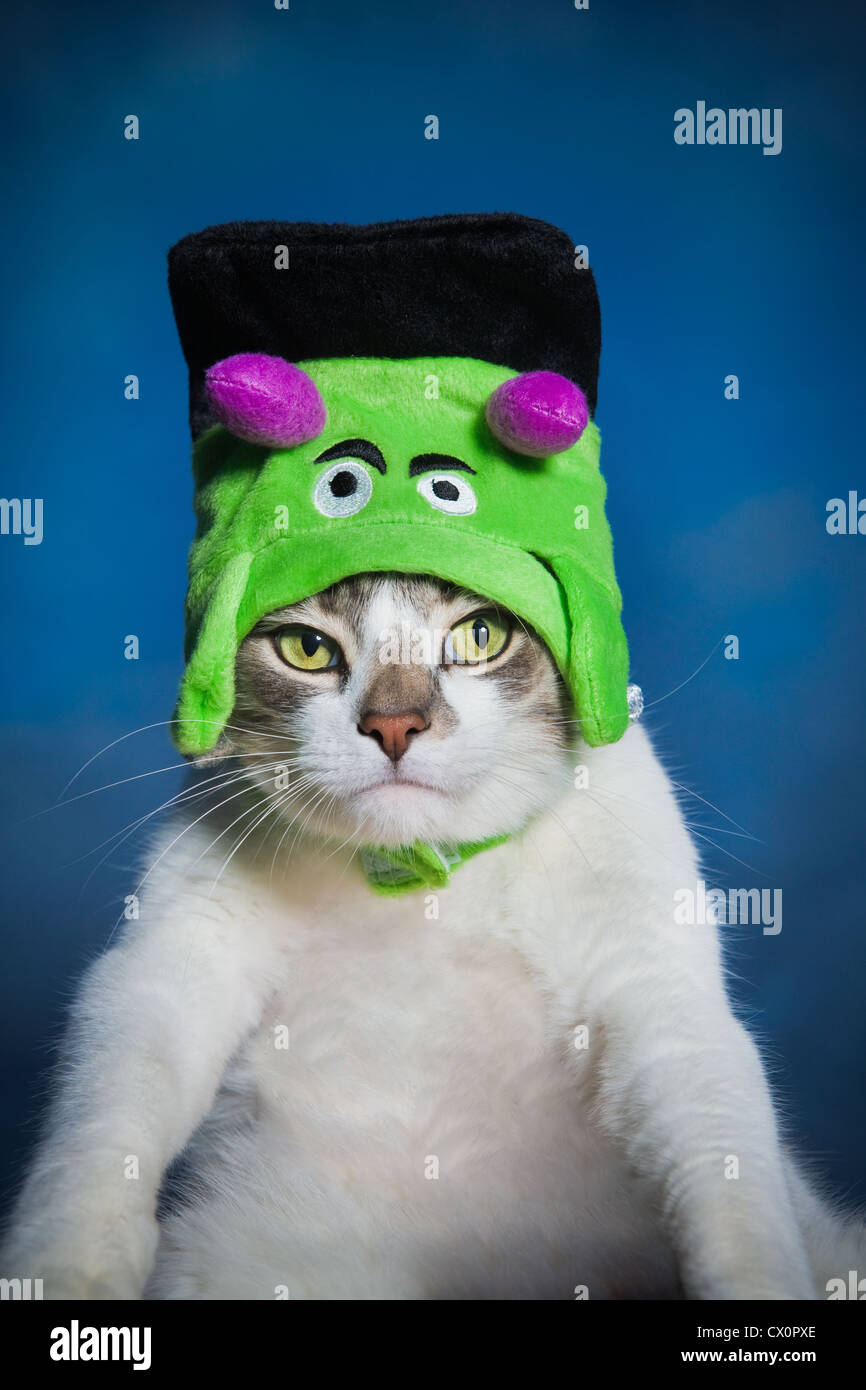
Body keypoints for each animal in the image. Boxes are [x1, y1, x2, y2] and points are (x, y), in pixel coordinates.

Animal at [1, 572, 866, 1289]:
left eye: (480, 635)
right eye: (308, 648)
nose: (394, 724)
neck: (423, 889)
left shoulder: (654, 995)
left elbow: (718, 1166)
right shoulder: (174, 961)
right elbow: (112, 1109)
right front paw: (66, 1265)